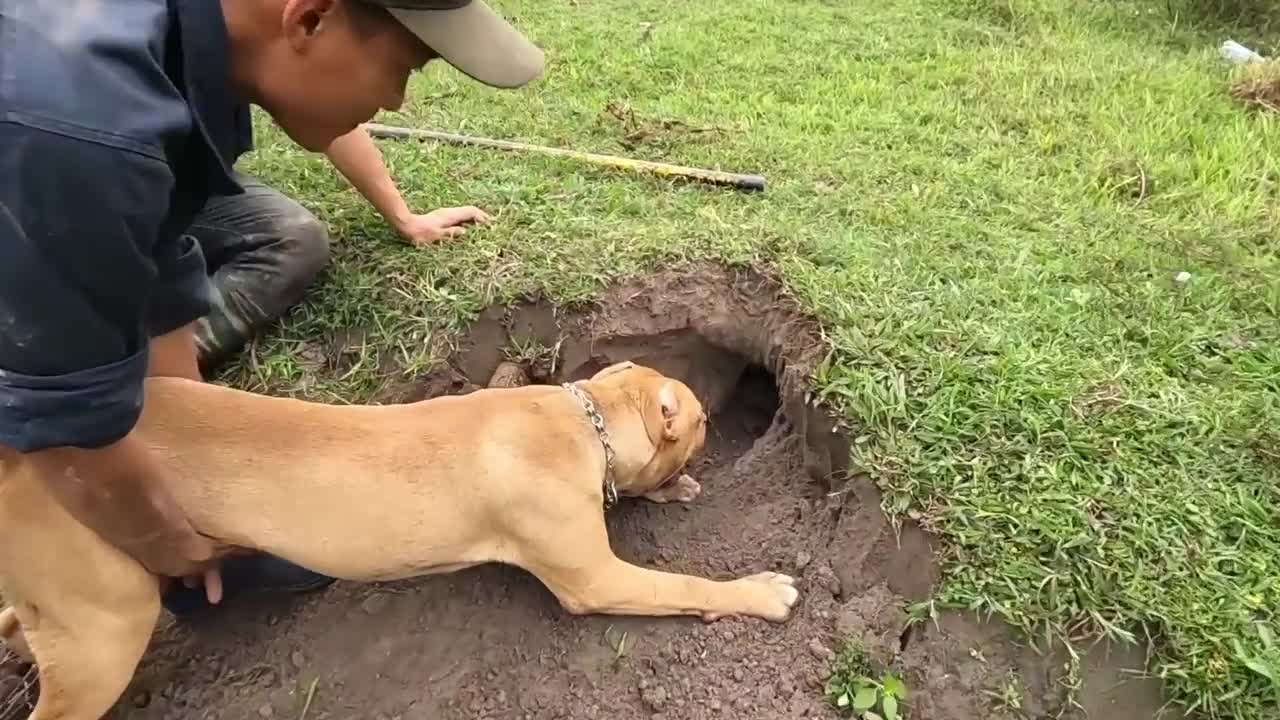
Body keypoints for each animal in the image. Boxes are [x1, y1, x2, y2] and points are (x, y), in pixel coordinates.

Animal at [0, 361, 798, 712]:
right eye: (702, 419)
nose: (720, 417)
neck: (583, 418)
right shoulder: (595, 578)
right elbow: (686, 584)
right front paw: (760, 592)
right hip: (108, 627)